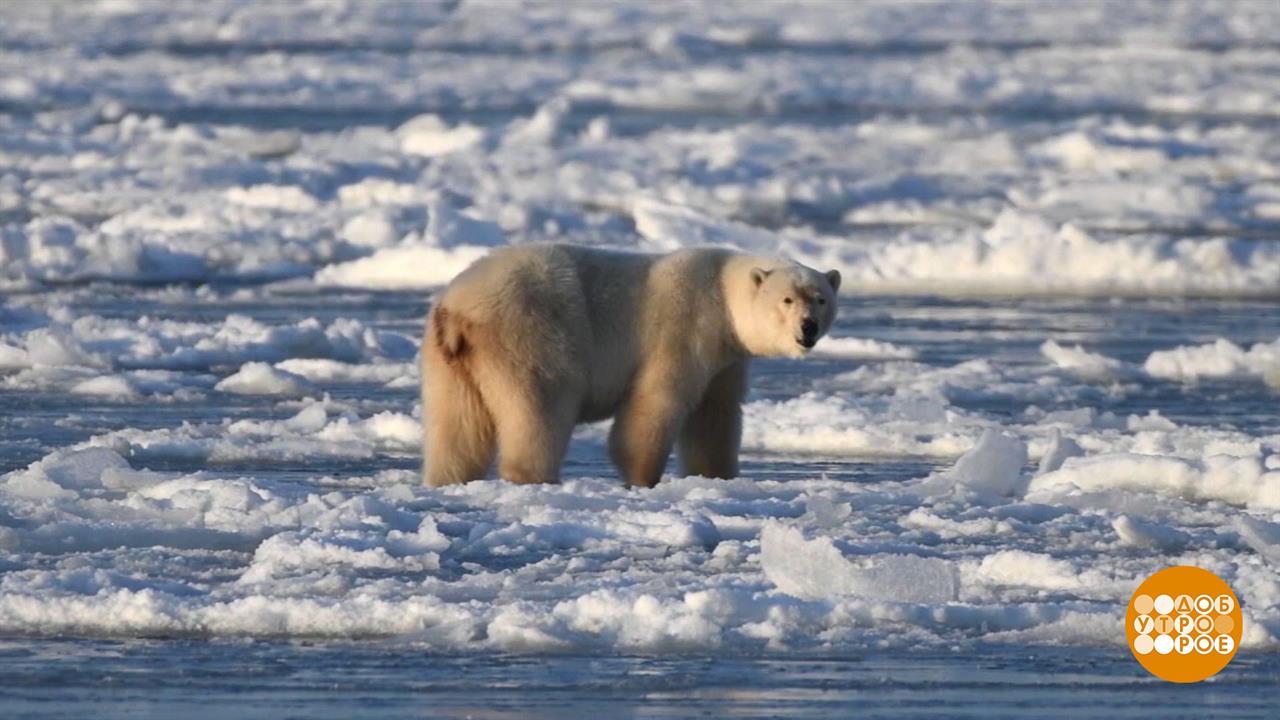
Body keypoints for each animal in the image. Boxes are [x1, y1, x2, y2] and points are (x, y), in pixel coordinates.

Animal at [419, 242, 839, 486]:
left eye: (820, 298)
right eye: (787, 299)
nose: (808, 327)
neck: (721, 292)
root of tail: (458, 307)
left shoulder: (725, 360)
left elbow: (713, 415)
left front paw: (715, 476)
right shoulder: (684, 330)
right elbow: (656, 404)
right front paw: (642, 479)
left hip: (452, 361)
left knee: (457, 427)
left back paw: (448, 480)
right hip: (529, 335)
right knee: (540, 408)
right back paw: (536, 478)